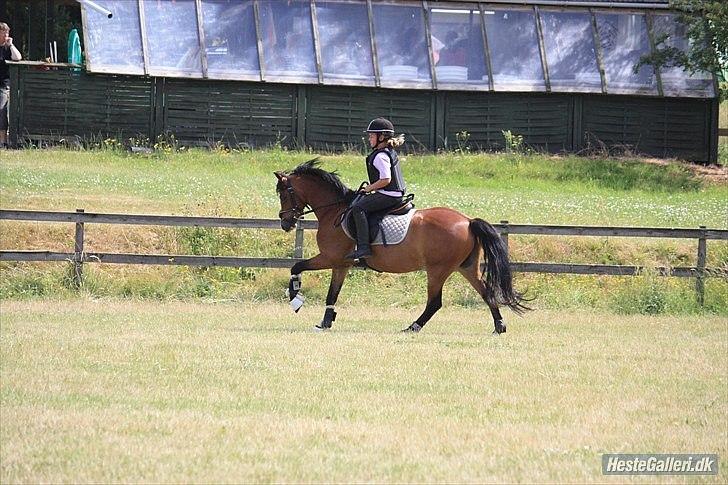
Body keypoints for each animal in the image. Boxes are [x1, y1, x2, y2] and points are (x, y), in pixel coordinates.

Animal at [274, 159, 529, 333]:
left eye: (283, 194)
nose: (286, 223)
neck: (334, 210)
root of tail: (467, 221)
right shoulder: (341, 264)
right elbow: (332, 293)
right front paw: (325, 322)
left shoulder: (329, 257)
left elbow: (296, 267)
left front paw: (295, 299)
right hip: (465, 266)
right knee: (486, 292)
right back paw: (499, 326)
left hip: (438, 270)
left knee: (435, 302)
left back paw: (413, 326)